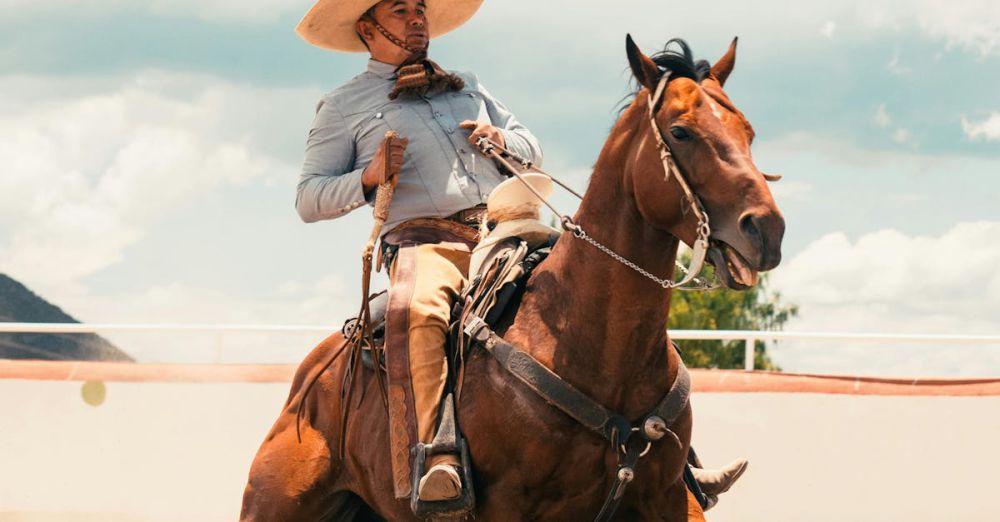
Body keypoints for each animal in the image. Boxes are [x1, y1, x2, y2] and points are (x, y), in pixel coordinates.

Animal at [240, 36, 780, 520]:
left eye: (749, 131)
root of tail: (315, 377)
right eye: (681, 131)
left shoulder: (665, 497)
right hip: (272, 503)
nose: (767, 229)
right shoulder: (508, 506)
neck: (590, 345)